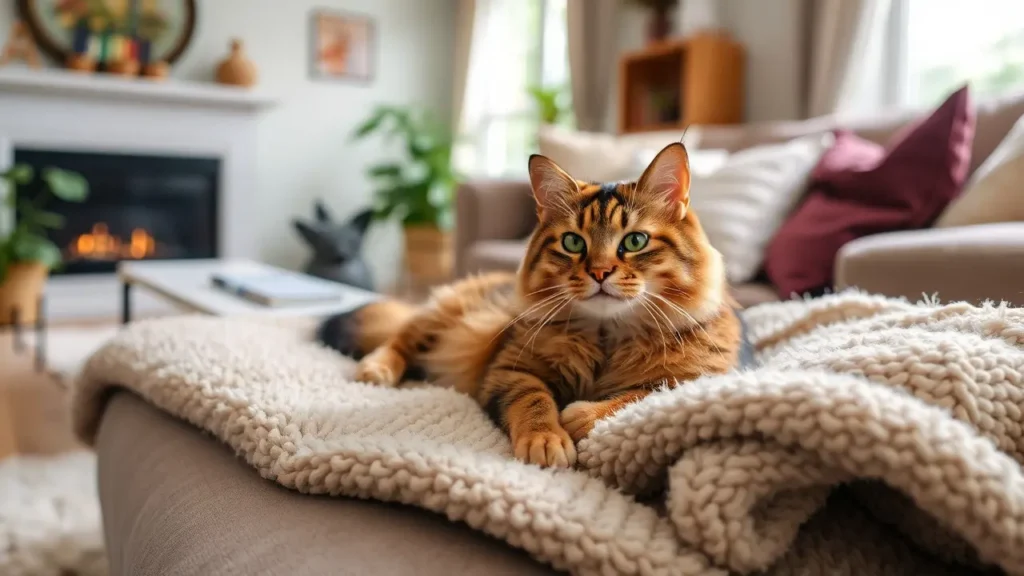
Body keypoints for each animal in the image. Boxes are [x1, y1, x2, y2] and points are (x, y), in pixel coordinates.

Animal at [315, 142, 749, 467]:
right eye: (573, 242)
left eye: (635, 241)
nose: (600, 272)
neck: (607, 337)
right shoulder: (513, 369)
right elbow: (535, 401)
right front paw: (548, 440)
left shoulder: (698, 379)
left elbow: (641, 395)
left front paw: (579, 415)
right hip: (443, 316)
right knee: (398, 340)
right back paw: (377, 370)